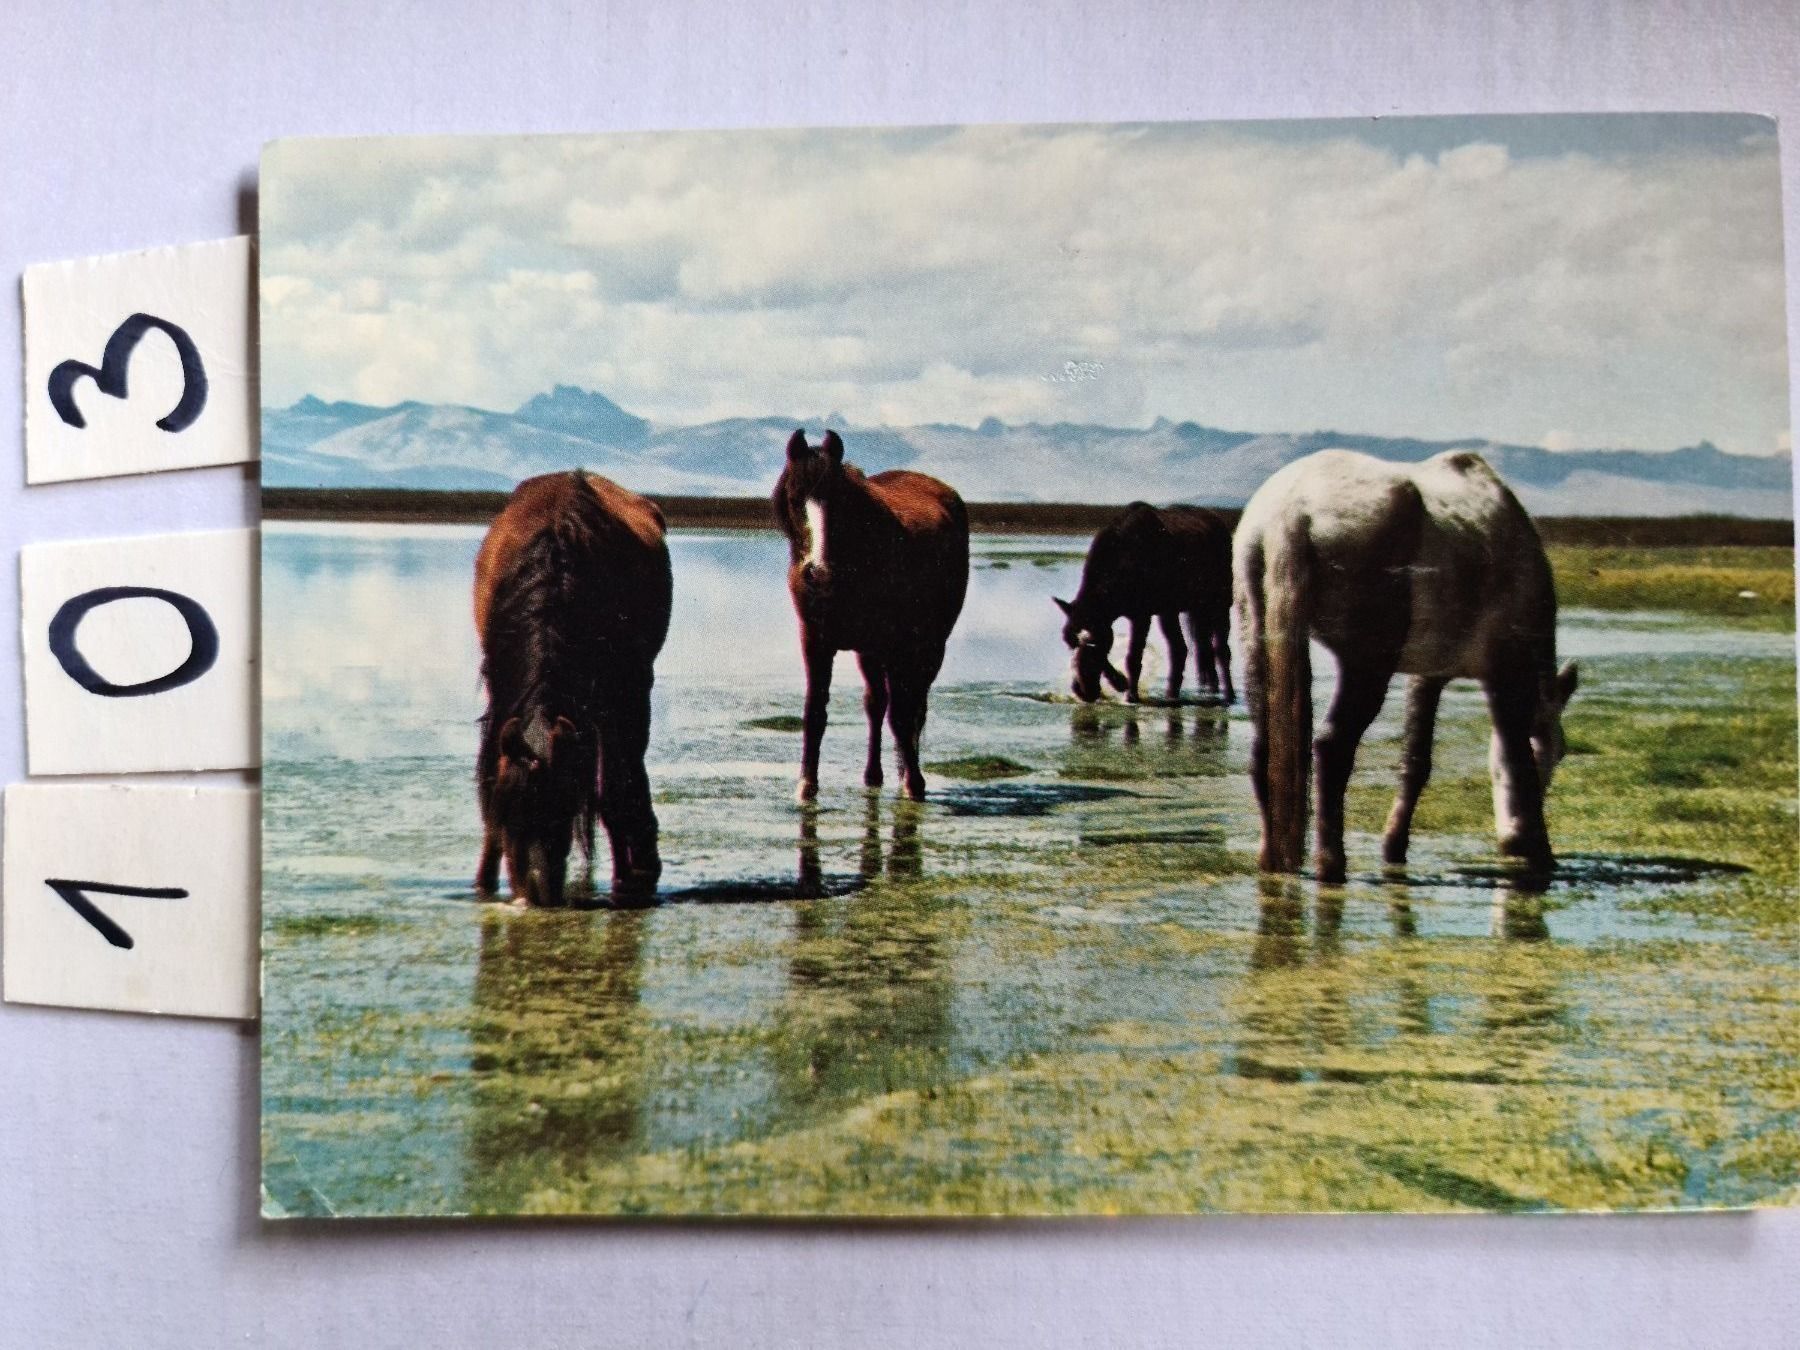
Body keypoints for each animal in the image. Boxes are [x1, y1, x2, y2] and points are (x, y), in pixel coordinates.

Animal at [474, 469, 672, 905]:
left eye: (562, 811)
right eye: (511, 815)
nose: (537, 893)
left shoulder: (619, 691)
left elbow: (613, 788)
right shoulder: (500, 690)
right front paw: (483, 883)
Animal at [772, 429, 970, 802]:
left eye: (838, 502)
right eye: (793, 498)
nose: (817, 573)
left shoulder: (896, 644)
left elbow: (903, 715)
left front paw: (914, 784)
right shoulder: (816, 642)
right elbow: (815, 711)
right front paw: (806, 785)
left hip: (929, 646)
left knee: (913, 705)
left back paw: (907, 772)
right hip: (871, 651)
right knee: (877, 703)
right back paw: (873, 774)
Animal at [1053, 501, 1235, 704]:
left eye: (1093, 643)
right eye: (1068, 640)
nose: (1082, 690)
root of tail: (1218, 522)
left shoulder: (1141, 616)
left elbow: (1133, 658)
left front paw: (1130, 695)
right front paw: (1121, 683)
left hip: (1220, 604)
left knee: (1221, 650)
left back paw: (1229, 695)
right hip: (1177, 611)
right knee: (1184, 650)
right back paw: (1175, 695)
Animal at [1233, 449, 1578, 884]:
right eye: (1558, 751)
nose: (1511, 839)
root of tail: (1291, 511)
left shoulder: (1427, 676)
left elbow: (1416, 762)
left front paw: (1394, 848)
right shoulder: (1504, 672)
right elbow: (1517, 758)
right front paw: (1538, 850)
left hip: (1256, 638)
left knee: (1264, 750)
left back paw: (1271, 859)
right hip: (1367, 665)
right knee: (1332, 746)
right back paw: (1331, 863)